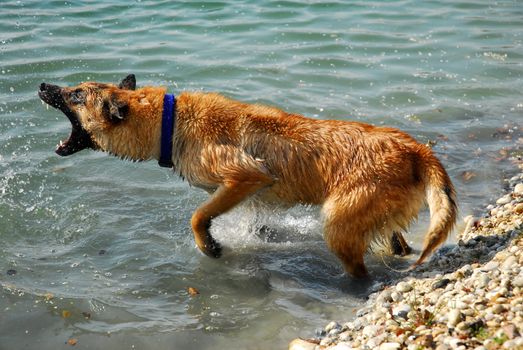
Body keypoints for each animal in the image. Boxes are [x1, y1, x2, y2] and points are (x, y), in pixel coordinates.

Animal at [40, 75, 458, 278]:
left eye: (76, 96)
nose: (43, 85)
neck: (168, 121)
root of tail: (415, 149)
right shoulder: (250, 194)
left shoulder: (246, 178)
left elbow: (198, 217)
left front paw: (210, 246)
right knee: (396, 244)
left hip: (338, 225)